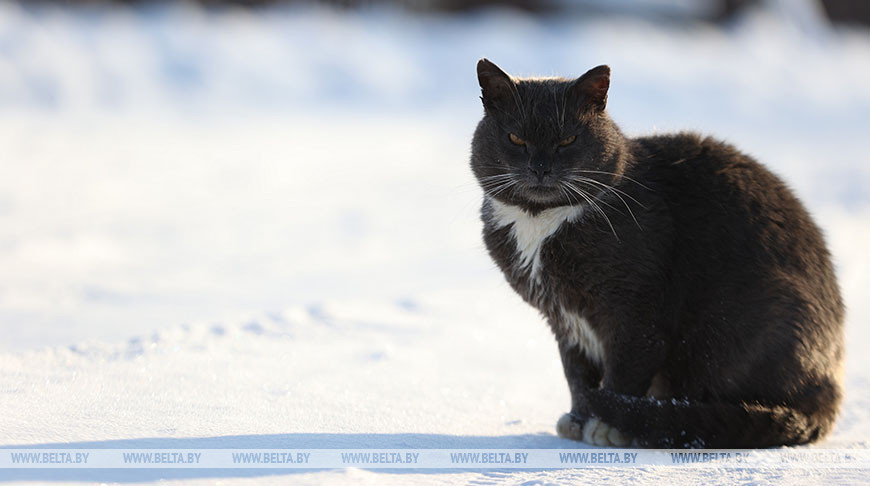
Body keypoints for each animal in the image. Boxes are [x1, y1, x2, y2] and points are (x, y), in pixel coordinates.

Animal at [474, 58, 848, 450]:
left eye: (568, 140)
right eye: (516, 139)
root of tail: (830, 393)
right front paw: (578, 419)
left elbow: (625, 371)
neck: (540, 223)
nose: (540, 168)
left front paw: (606, 426)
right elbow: (576, 374)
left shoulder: (636, 314)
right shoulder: (563, 320)